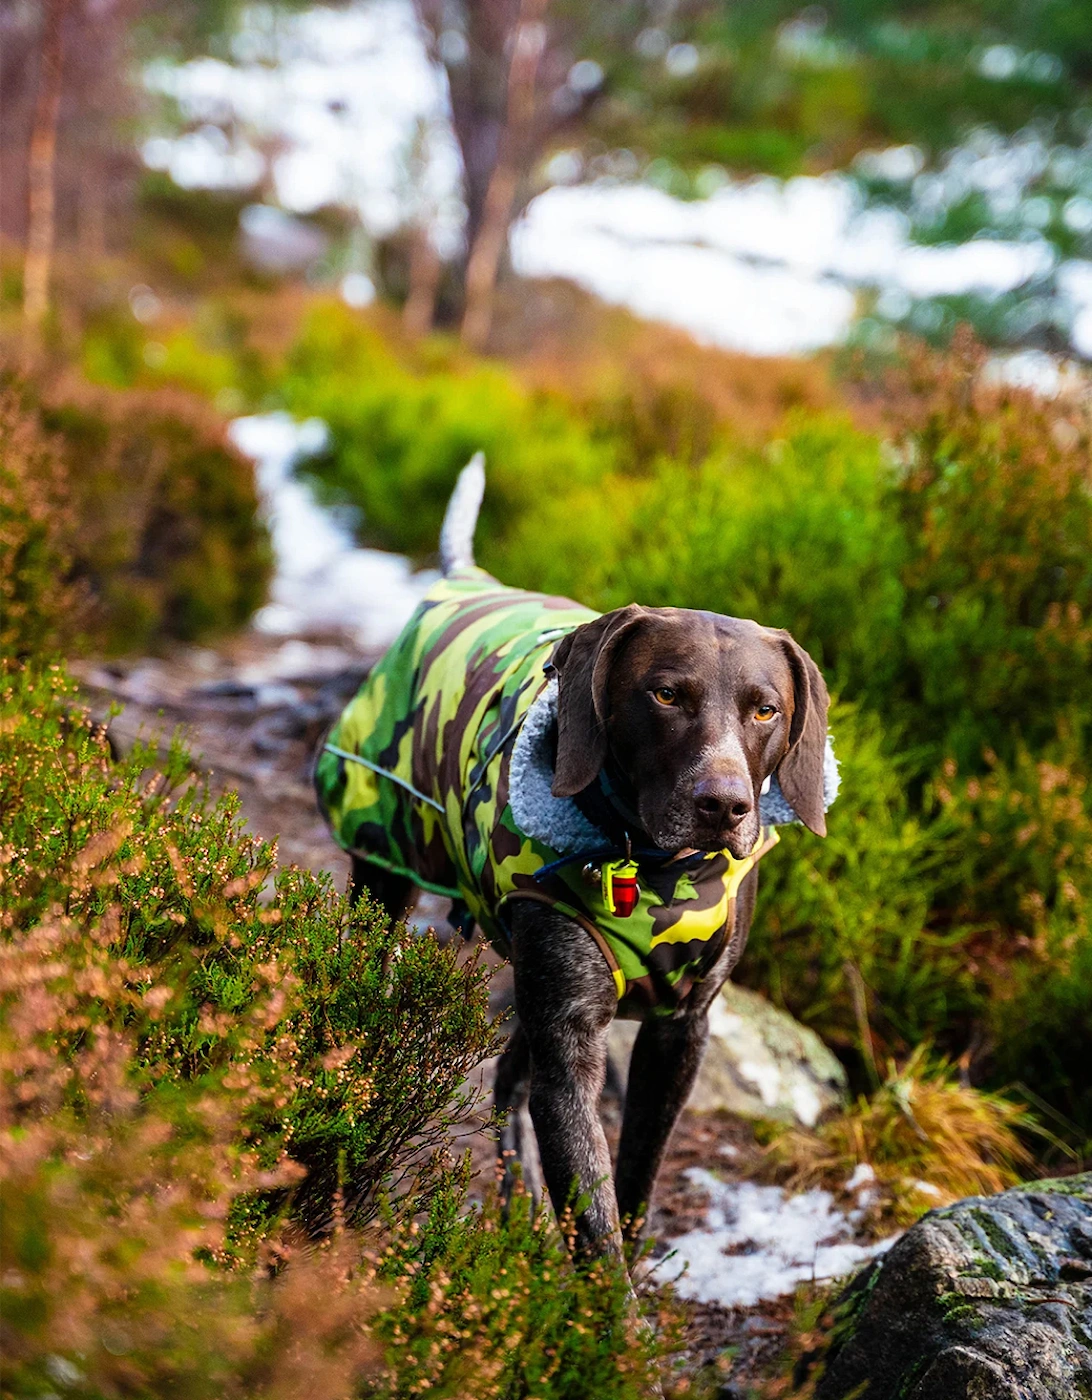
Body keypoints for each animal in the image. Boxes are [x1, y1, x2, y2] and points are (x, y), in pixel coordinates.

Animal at [315, 453, 834, 1265]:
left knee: (507, 1080)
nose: (724, 806)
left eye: (765, 709)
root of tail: (464, 577)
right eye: (665, 694)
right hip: (387, 879)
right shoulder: (571, 1042)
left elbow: (634, 1188)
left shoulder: (678, 1033)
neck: (654, 868)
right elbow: (596, 1228)